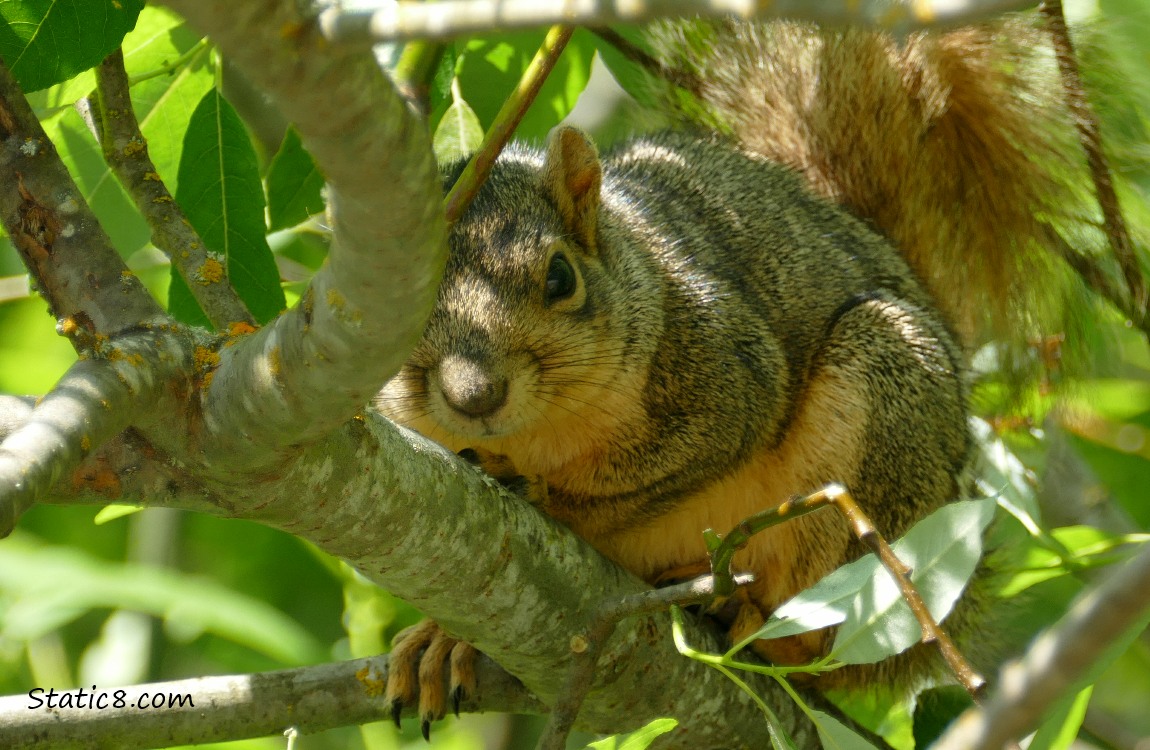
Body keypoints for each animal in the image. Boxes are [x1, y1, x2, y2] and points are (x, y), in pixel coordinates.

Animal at [375, 12, 1092, 732]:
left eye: (560, 277)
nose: (474, 395)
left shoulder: (728, 369)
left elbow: (671, 464)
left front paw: (546, 496)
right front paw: (443, 637)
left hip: (886, 427)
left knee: (825, 646)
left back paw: (745, 617)